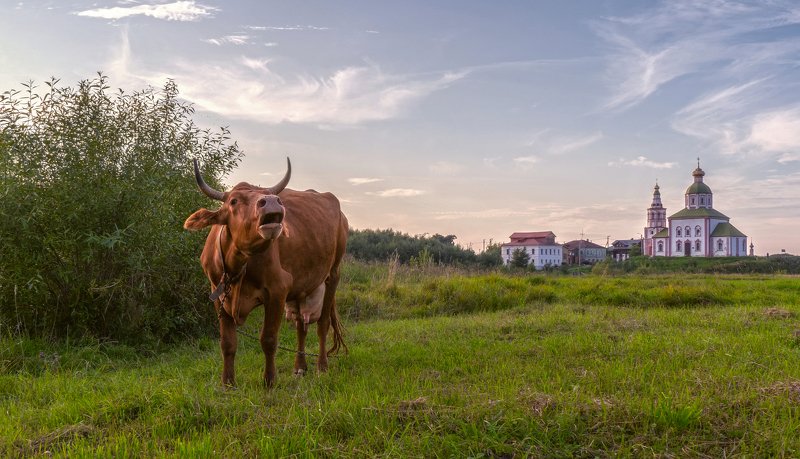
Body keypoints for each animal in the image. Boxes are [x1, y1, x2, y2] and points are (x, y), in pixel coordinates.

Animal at [183, 158, 348, 388]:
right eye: (233, 201)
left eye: (264, 194)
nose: (271, 201)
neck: (237, 266)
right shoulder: (217, 293)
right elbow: (227, 343)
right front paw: (228, 383)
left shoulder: (278, 290)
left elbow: (268, 339)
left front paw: (269, 381)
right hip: (302, 286)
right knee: (301, 325)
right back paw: (300, 367)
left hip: (333, 274)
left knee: (322, 323)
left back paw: (321, 367)